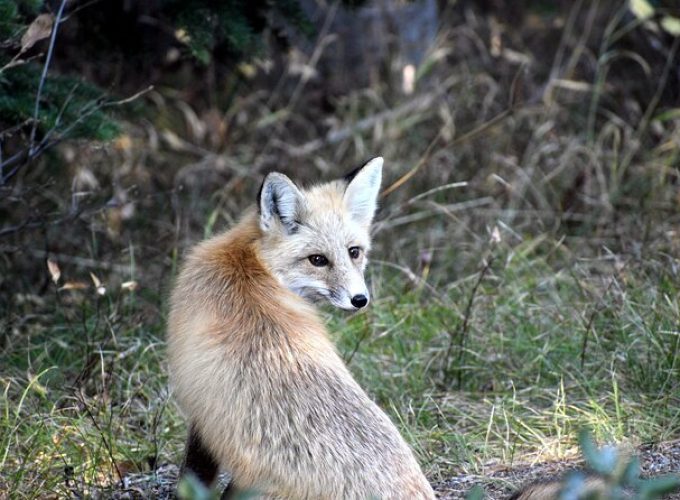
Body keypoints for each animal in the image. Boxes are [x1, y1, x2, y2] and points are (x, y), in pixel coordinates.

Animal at [169, 159, 436, 500]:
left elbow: (190, 478)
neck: (250, 262)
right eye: (317, 260)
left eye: (354, 252)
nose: (360, 299)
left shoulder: (202, 414)